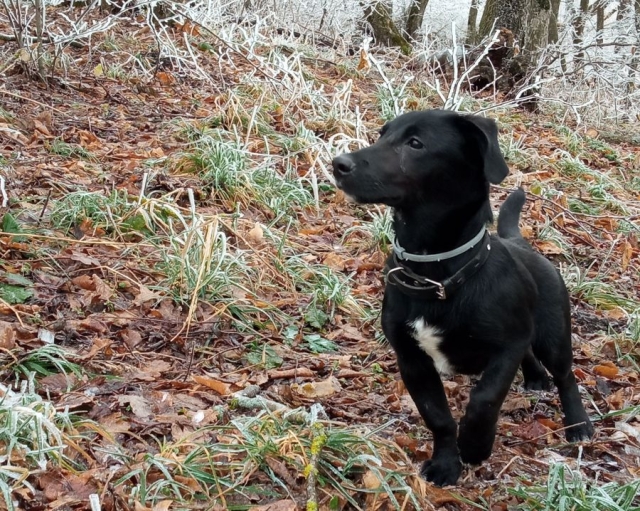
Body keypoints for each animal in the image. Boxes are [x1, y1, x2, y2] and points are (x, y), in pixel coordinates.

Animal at [332, 111, 592, 488]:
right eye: (382, 135)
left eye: (415, 143)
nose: (338, 164)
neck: (437, 273)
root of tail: (523, 245)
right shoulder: (412, 360)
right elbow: (438, 417)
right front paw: (445, 464)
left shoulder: (507, 347)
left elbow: (485, 398)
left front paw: (474, 445)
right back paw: (535, 378)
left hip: (554, 334)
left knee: (566, 376)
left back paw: (579, 424)